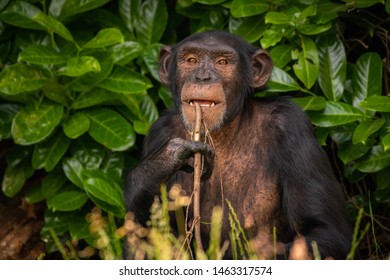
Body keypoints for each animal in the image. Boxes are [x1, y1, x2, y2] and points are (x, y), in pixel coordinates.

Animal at [123, 29, 352, 260]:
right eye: (191, 60)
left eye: (222, 62)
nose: (202, 76)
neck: (223, 132)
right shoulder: (159, 131)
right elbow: (142, 226)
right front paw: (172, 155)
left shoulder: (291, 125)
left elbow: (323, 231)